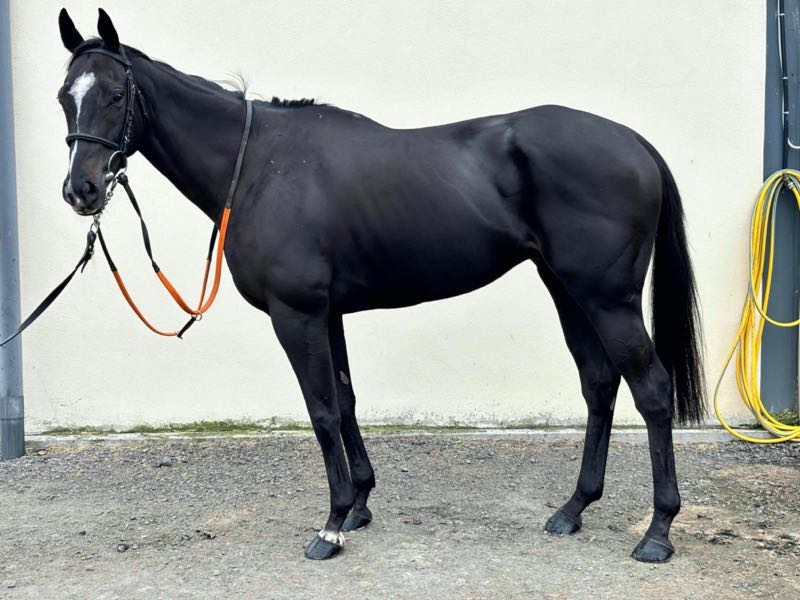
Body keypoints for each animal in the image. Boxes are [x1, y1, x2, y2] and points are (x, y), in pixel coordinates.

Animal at [56, 9, 704, 562]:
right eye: (66, 97)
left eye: (116, 95)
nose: (80, 190)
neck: (262, 165)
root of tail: (634, 143)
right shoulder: (328, 314)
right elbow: (344, 402)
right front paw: (359, 507)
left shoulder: (296, 315)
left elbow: (320, 410)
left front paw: (330, 526)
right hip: (567, 289)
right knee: (599, 383)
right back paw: (573, 509)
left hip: (608, 299)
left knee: (651, 390)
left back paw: (657, 532)